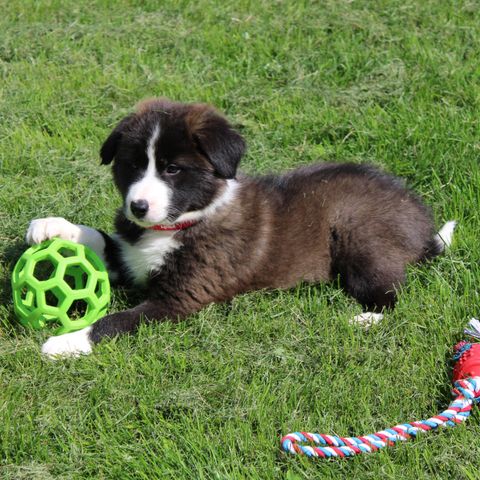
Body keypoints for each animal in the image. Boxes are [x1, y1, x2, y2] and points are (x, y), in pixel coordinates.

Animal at [26, 98, 454, 356]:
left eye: (172, 169)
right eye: (132, 165)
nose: (138, 207)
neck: (180, 224)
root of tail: (421, 223)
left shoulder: (179, 298)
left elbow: (115, 321)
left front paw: (66, 340)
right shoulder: (134, 255)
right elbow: (104, 241)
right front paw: (51, 228)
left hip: (360, 236)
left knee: (395, 292)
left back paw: (367, 318)